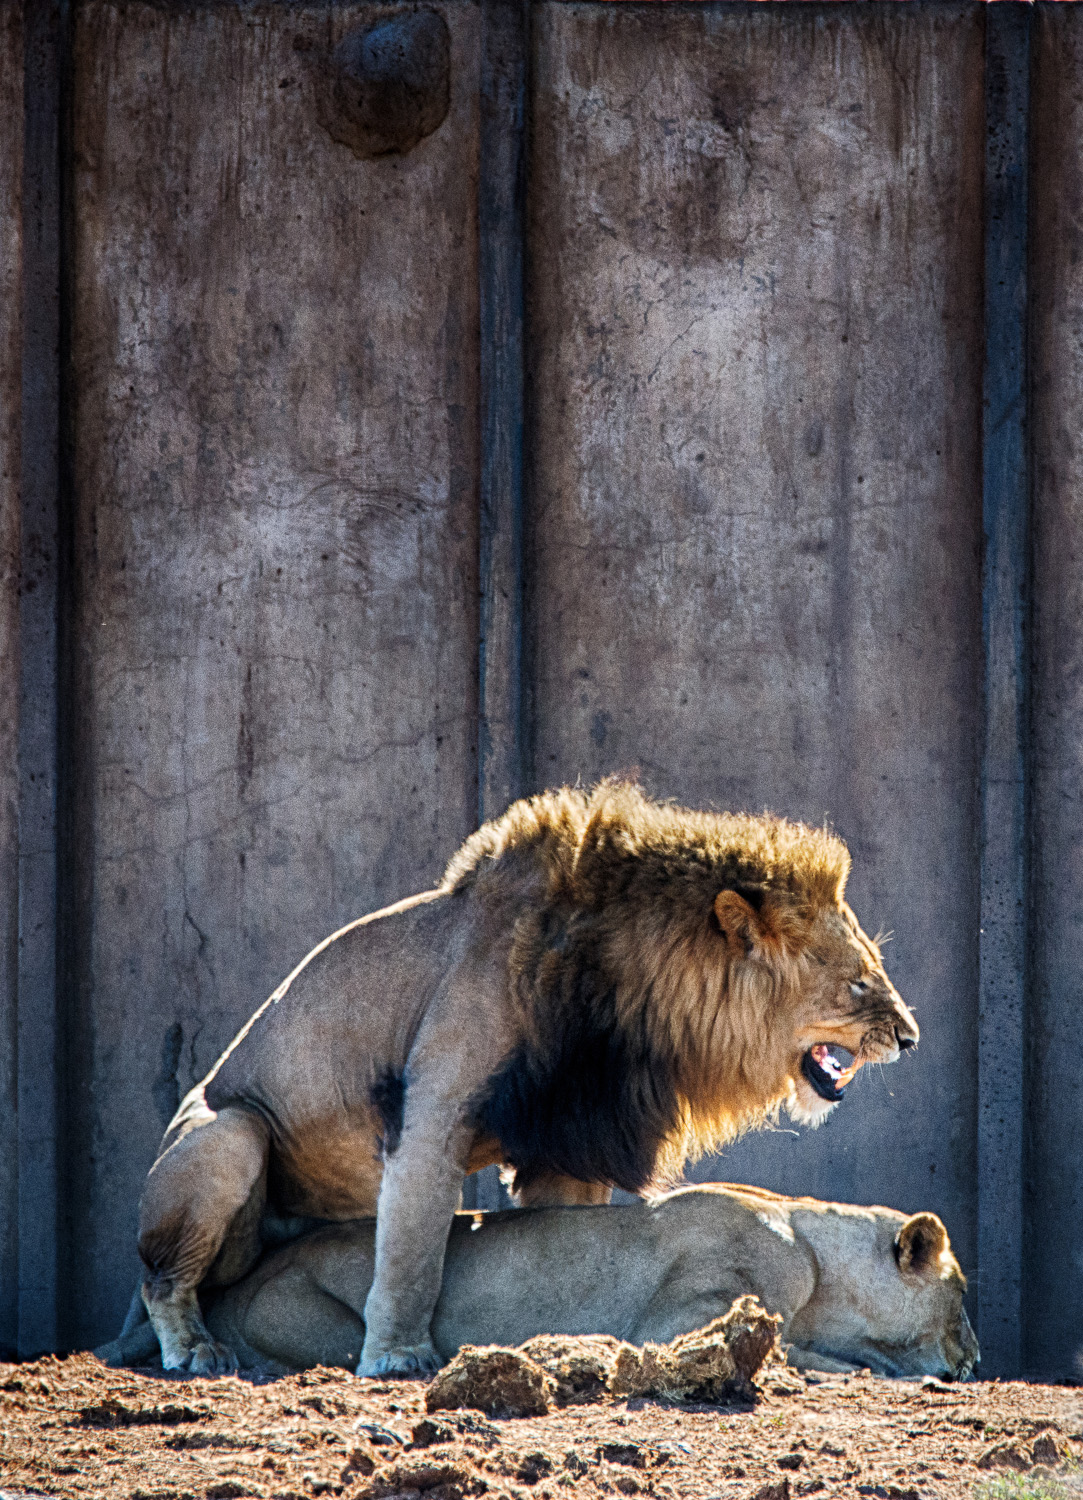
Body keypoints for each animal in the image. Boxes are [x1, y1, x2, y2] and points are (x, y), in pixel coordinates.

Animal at [133, 781, 918, 1378]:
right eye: (857, 983)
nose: (910, 1037)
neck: (631, 999)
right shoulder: (432, 1116)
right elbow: (412, 1251)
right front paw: (398, 1358)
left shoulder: (570, 1140)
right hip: (229, 1133)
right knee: (161, 1277)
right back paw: (195, 1351)